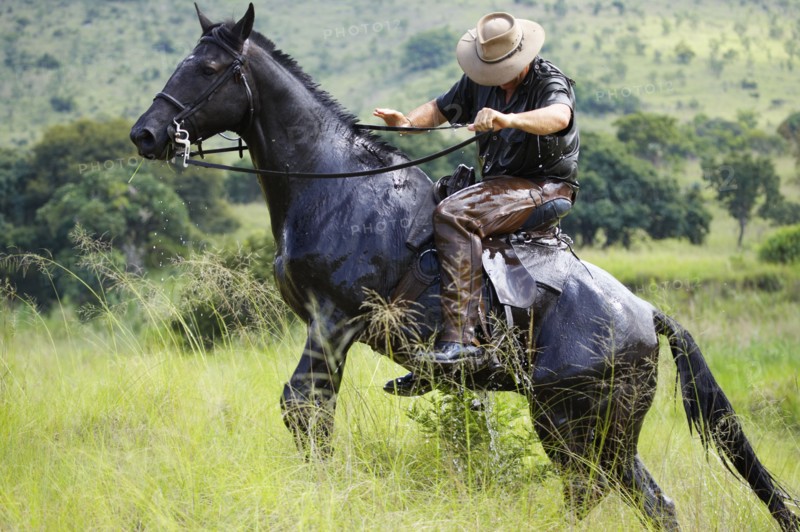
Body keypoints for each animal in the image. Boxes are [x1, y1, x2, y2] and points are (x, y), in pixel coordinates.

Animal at [130, 5, 800, 530]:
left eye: (209, 69)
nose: (146, 133)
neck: (333, 184)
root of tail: (645, 314)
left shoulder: (335, 320)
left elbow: (304, 409)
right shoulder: (325, 326)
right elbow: (309, 411)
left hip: (575, 418)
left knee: (595, 489)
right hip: (590, 423)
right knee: (638, 498)